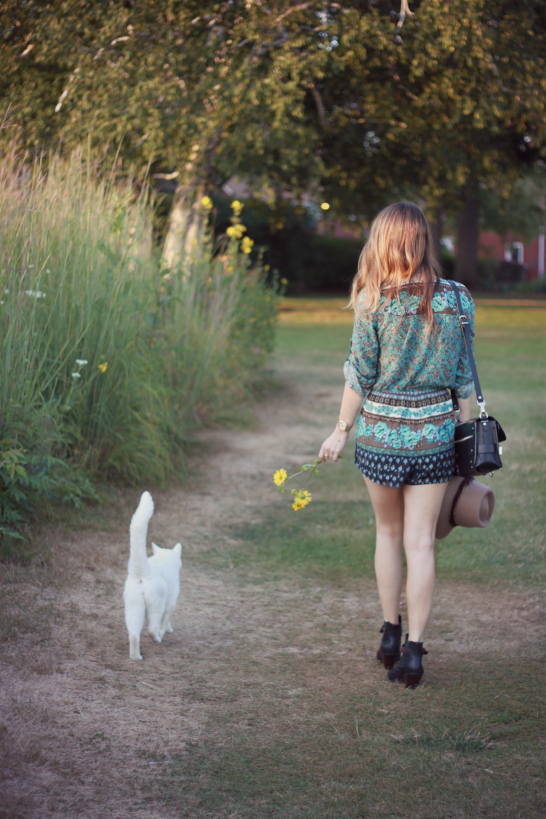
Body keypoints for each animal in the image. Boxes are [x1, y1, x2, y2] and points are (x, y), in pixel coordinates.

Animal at [123, 494, 183, 660]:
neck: (165, 558)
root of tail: (142, 572)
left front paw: (169, 629)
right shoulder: (171, 602)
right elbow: (166, 620)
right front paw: (165, 631)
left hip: (133, 608)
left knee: (134, 635)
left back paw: (136, 657)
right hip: (156, 605)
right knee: (151, 628)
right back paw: (157, 639)